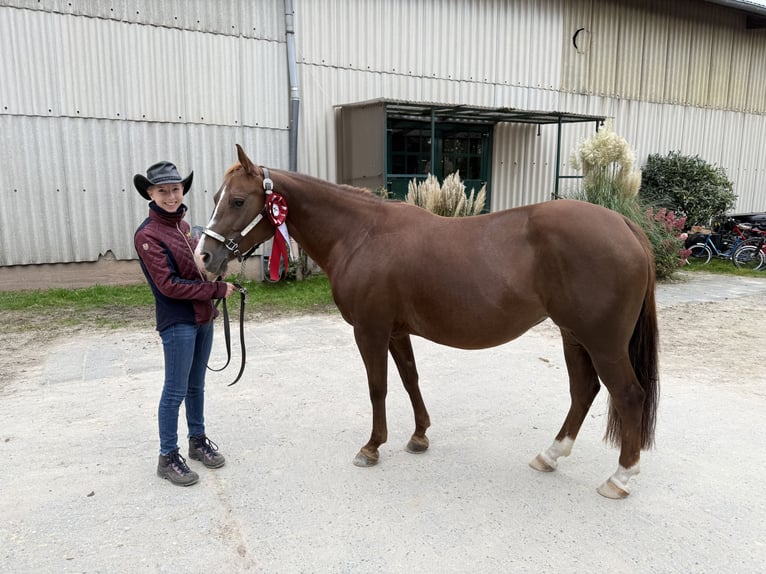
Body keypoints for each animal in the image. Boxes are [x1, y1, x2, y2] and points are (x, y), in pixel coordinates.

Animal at [196, 144, 659, 499]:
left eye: (238, 200)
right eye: (218, 195)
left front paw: (372, 447)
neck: (361, 234)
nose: (204, 256)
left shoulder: (370, 330)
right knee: (584, 392)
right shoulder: (396, 331)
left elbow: (379, 387)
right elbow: (410, 380)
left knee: (628, 395)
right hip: (573, 336)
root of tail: (624, 224)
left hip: (603, 343)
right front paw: (419, 436)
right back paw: (550, 455)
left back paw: (620, 478)